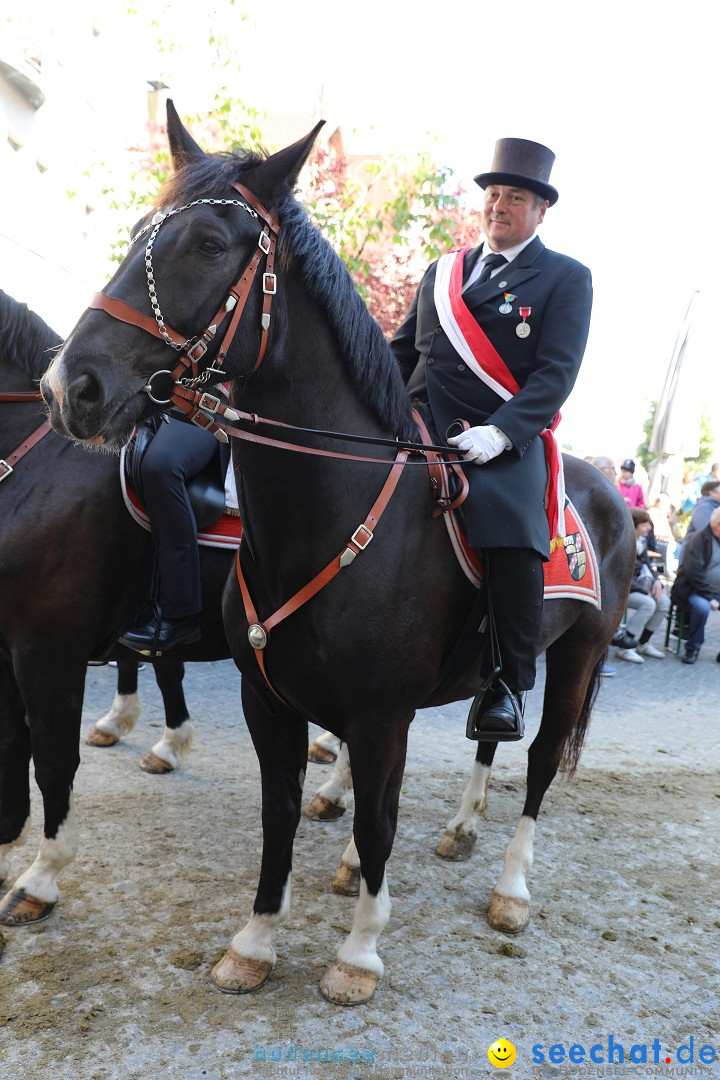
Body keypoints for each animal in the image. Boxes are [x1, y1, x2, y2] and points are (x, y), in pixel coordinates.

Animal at [42, 105, 634, 1006]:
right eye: (140, 229)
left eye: (209, 244)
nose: (69, 387)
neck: (327, 507)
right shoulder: (269, 698)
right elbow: (280, 812)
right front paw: (256, 939)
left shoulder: (384, 711)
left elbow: (382, 818)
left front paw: (358, 953)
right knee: (485, 739)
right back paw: (456, 829)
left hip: (576, 659)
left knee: (534, 765)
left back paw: (509, 886)